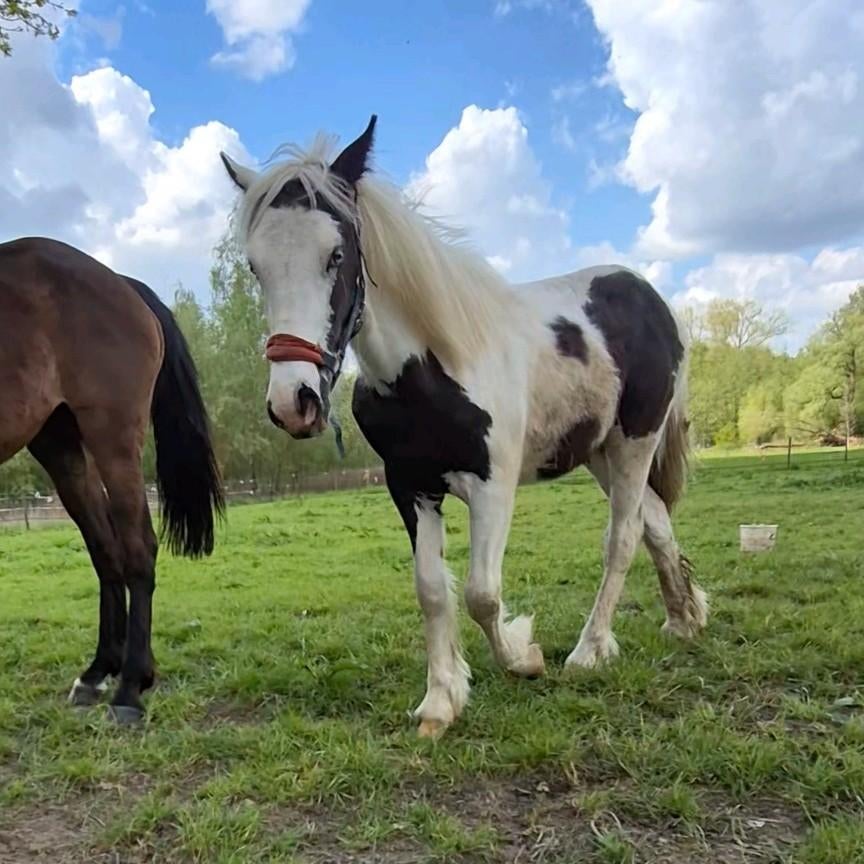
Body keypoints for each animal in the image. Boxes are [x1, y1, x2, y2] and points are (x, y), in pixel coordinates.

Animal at [0, 237, 224, 723]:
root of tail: (121, 283)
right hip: (61, 447)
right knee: (106, 551)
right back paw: (99, 672)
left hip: (113, 440)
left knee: (138, 548)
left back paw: (130, 688)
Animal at [220, 117, 708, 737]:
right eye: (255, 267)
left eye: (336, 255)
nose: (293, 401)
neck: (430, 368)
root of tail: (653, 301)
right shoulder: (409, 487)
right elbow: (432, 591)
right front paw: (441, 700)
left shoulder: (492, 488)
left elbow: (481, 594)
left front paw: (524, 656)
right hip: (600, 452)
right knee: (656, 523)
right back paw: (684, 619)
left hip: (634, 443)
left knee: (622, 538)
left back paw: (590, 649)